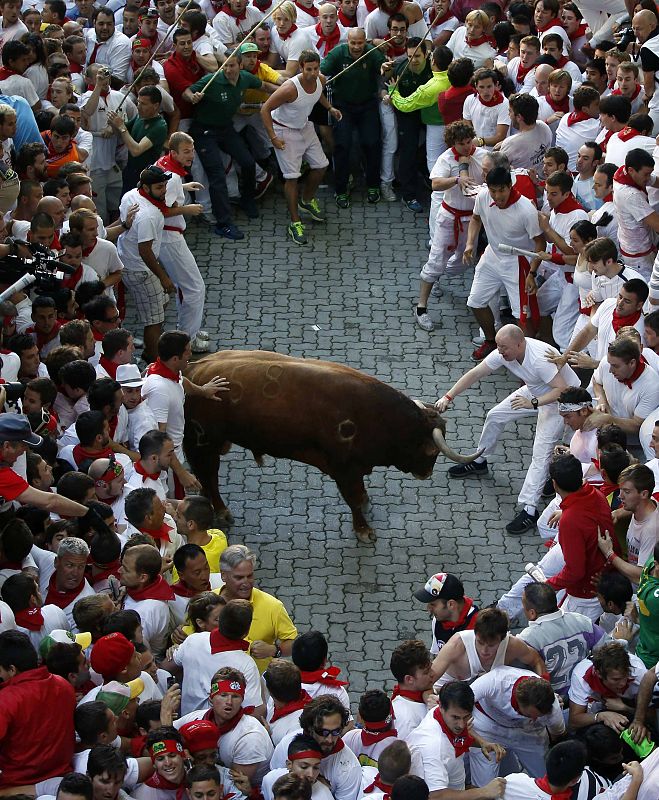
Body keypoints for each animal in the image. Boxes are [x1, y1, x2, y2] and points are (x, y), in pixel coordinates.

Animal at [183, 350, 478, 543]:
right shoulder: (343, 468)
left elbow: (360, 495)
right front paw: (364, 530)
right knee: (209, 475)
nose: (425, 473)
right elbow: (353, 499)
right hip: (204, 442)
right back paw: (222, 512)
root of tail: (194, 369)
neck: (375, 416)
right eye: (431, 451)